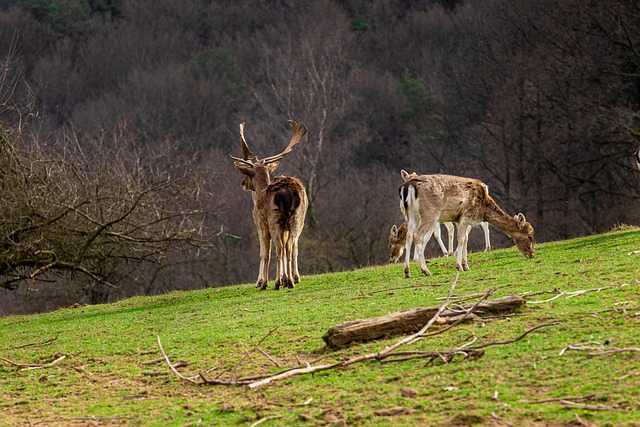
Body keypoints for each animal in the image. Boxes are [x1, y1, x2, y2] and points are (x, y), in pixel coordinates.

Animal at [231, 120, 309, 290]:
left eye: (247, 174)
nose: (242, 184)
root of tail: (287, 192)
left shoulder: (260, 224)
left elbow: (264, 253)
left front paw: (260, 282)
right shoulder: (285, 228)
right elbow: (288, 249)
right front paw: (287, 277)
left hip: (274, 219)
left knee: (279, 248)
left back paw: (277, 283)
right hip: (297, 219)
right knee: (291, 246)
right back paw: (291, 281)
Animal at [399, 174, 535, 278]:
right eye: (529, 236)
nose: (532, 255)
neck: (483, 207)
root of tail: (407, 186)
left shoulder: (459, 220)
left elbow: (465, 240)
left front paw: (466, 266)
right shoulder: (466, 215)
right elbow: (462, 239)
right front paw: (459, 266)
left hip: (410, 215)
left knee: (409, 236)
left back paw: (407, 271)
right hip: (430, 214)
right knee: (417, 235)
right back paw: (425, 270)